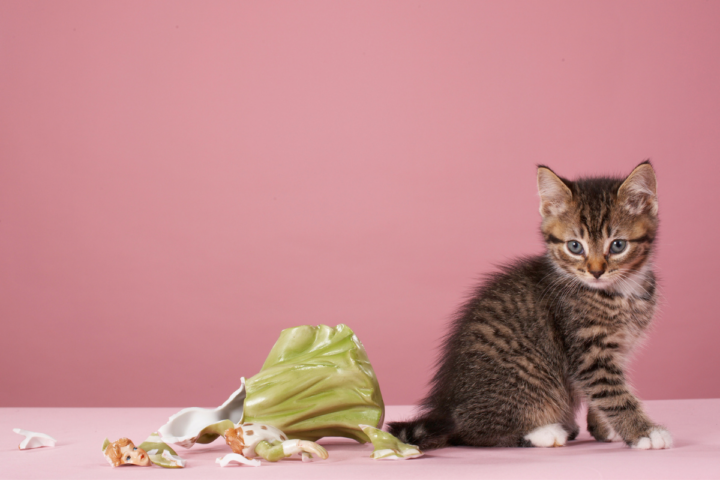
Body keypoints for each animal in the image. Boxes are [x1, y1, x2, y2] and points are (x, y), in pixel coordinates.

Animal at [390, 161, 672, 450]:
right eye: (574, 246)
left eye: (617, 245)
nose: (595, 272)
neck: (619, 293)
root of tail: (445, 407)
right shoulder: (587, 352)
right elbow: (612, 394)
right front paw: (644, 432)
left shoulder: (619, 349)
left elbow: (603, 391)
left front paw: (603, 427)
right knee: (469, 432)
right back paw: (544, 433)